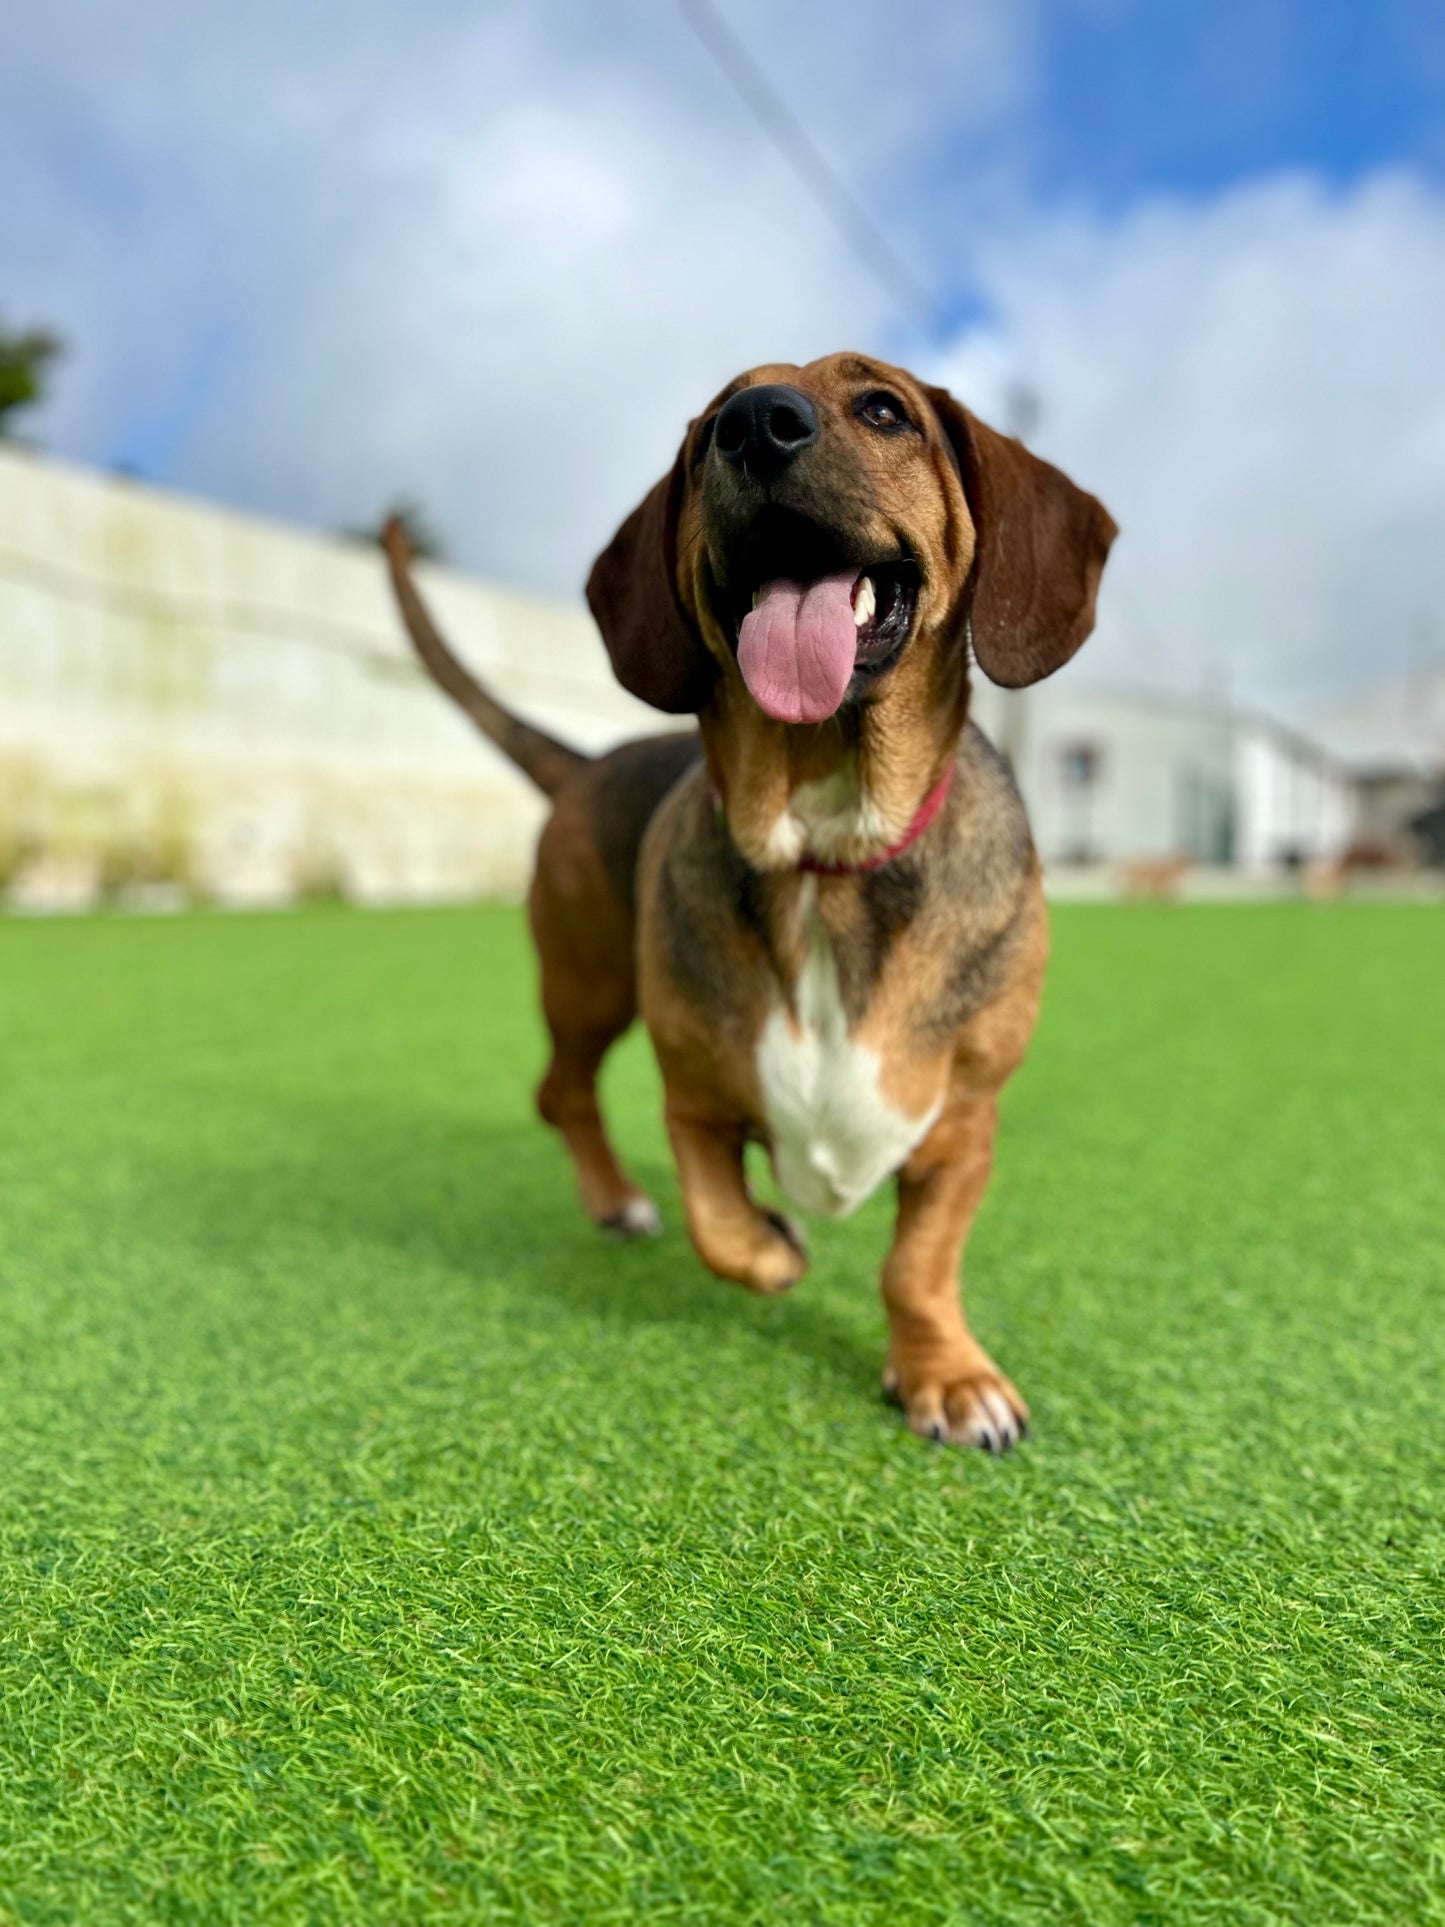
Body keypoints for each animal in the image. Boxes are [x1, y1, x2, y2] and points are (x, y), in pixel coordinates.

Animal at [379, 354, 1117, 1449]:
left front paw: (946, 1375)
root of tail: (588, 764)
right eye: (707, 435)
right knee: (562, 1093)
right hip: (590, 987)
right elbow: (719, 1226)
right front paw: (773, 1244)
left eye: (884, 408)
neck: (821, 852)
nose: (755, 425)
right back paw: (617, 1202)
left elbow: (916, 1266)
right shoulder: (692, 1099)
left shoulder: (962, 1126)